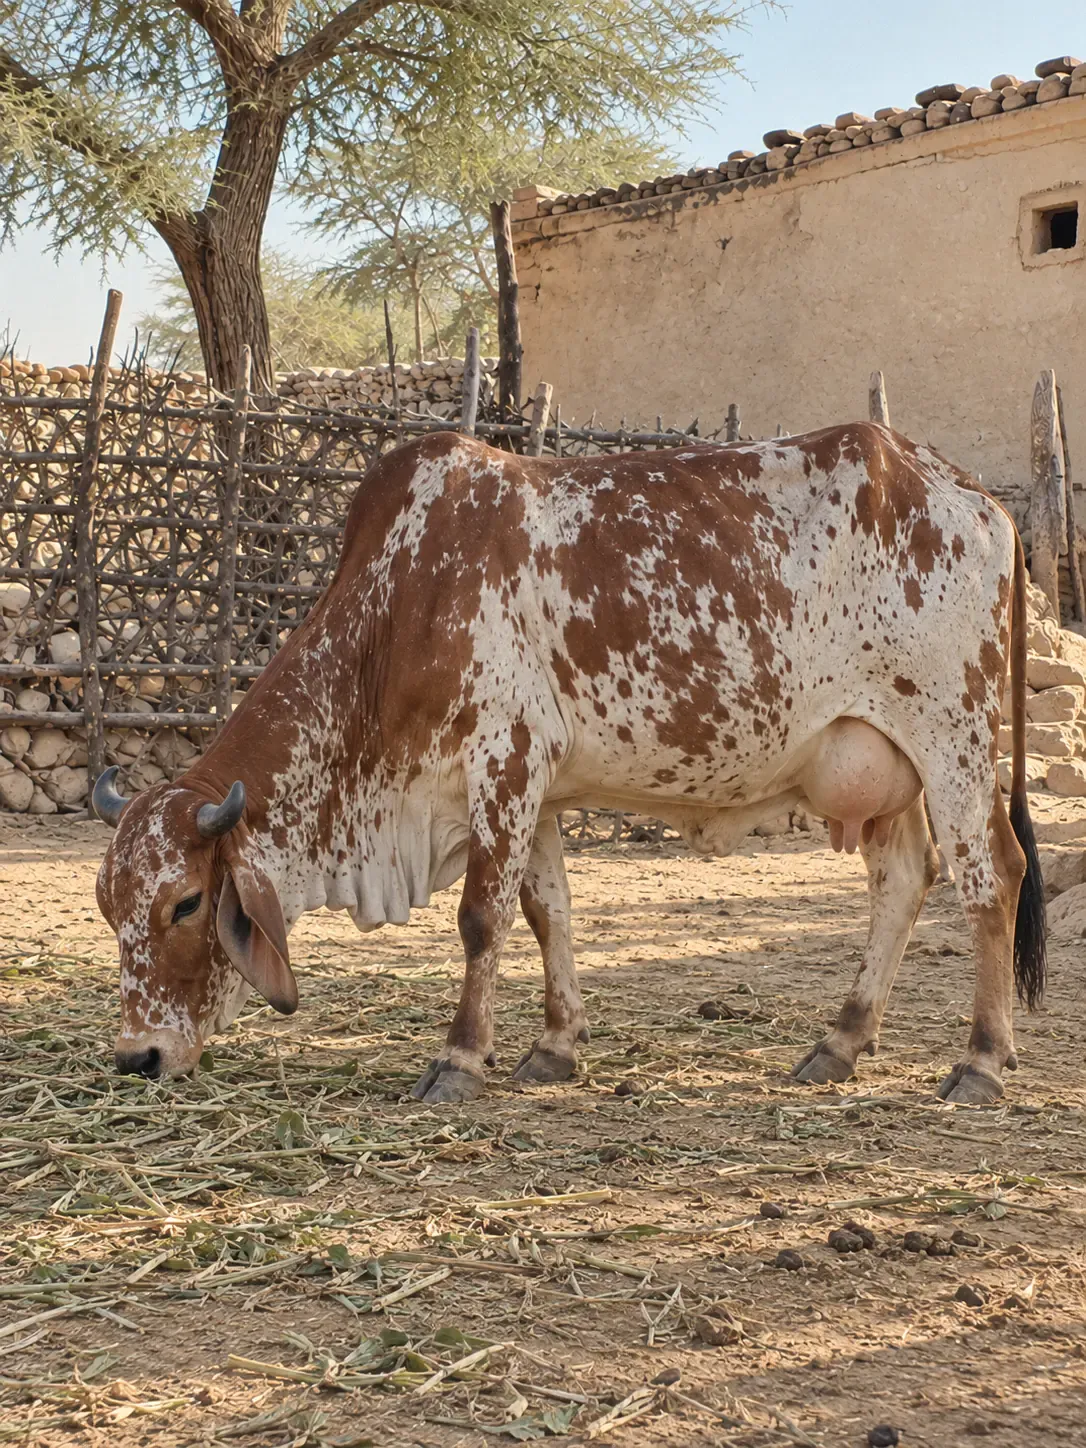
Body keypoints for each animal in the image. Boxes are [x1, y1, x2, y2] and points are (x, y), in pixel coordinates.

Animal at [92, 422, 1046, 1106]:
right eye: (110, 909)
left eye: (185, 903)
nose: (137, 1057)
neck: (400, 601)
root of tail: (977, 500)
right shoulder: (536, 790)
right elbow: (547, 913)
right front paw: (553, 1047)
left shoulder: (503, 765)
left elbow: (481, 921)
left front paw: (458, 1060)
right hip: (883, 762)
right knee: (904, 880)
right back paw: (839, 1043)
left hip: (953, 738)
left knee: (992, 877)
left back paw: (980, 1062)